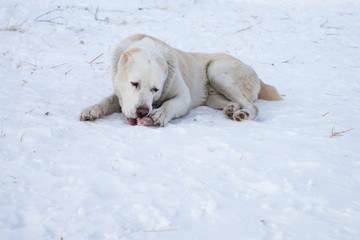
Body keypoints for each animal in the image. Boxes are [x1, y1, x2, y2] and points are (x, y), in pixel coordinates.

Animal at [79, 34, 282, 126]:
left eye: (155, 89)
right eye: (134, 84)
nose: (143, 111)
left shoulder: (184, 97)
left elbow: (171, 104)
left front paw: (159, 114)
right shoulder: (121, 95)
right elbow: (106, 100)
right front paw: (91, 110)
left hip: (218, 72)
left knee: (252, 106)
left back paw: (243, 114)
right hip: (213, 97)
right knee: (236, 101)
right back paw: (231, 109)